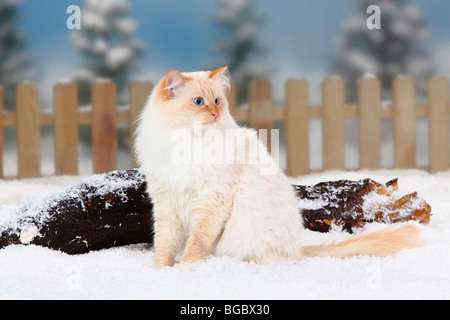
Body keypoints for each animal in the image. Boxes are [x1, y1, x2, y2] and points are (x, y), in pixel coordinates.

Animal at [134, 67, 422, 268]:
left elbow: (196, 244)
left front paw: (187, 269)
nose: (215, 114)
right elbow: (164, 245)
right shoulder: (165, 202)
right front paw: (161, 271)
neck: (188, 145)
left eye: (216, 101)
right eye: (198, 102)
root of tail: (298, 248)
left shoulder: (210, 201)